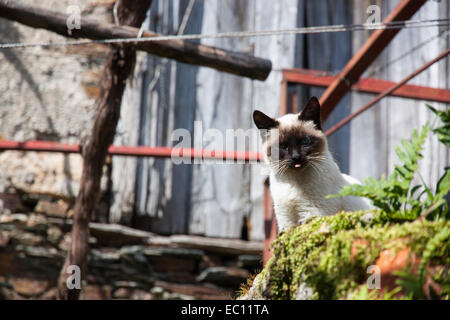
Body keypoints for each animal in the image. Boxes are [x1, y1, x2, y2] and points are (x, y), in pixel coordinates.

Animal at [255, 96, 370, 231]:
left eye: (305, 142)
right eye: (283, 146)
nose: (296, 157)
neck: (294, 182)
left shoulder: (313, 213)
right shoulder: (286, 220)